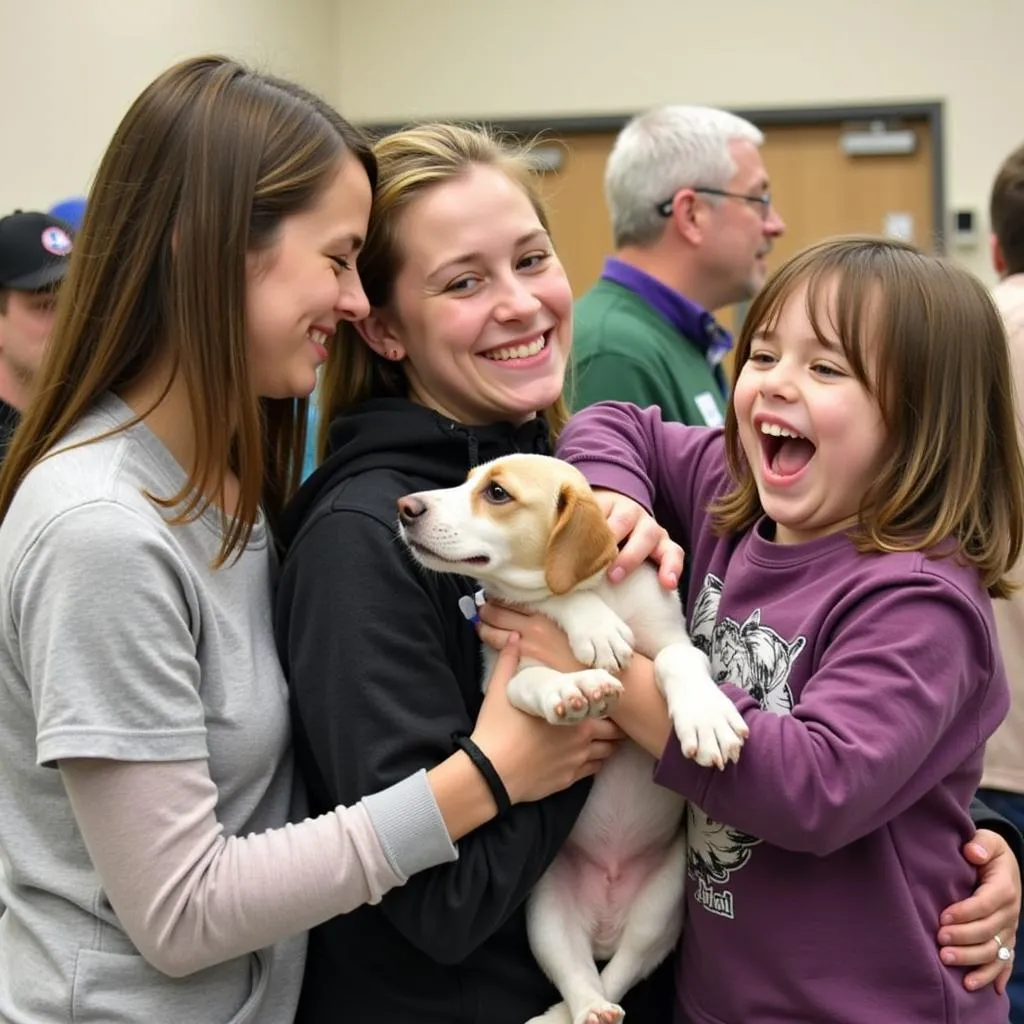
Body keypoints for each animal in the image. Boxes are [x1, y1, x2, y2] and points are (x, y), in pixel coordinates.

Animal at [397, 458, 745, 1024]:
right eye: (465, 479)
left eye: (496, 493)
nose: (407, 508)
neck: (602, 589)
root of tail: (604, 921)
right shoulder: (507, 678)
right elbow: (538, 667)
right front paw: (578, 670)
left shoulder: (675, 642)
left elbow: (676, 659)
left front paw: (707, 717)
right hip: (546, 915)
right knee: (583, 980)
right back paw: (575, 1011)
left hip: (663, 908)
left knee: (620, 971)